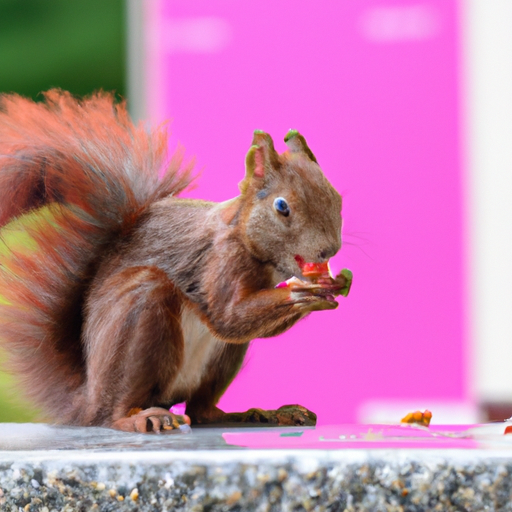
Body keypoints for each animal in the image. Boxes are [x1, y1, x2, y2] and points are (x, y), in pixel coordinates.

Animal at [0, 89, 350, 432]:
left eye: (337, 199)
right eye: (282, 206)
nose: (328, 251)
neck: (249, 242)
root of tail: (85, 400)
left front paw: (336, 285)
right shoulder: (220, 259)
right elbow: (228, 316)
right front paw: (303, 292)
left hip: (221, 359)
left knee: (202, 411)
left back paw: (258, 413)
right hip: (138, 321)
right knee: (113, 412)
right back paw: (138, 417)